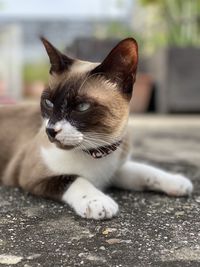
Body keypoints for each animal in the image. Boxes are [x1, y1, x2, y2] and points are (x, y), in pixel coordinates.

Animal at [0, 36, 194, 220]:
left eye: (82, 107)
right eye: (48, 102)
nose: (51, 131)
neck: (96, 152)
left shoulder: (115, 171)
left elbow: (145, 170)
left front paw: (177, 182)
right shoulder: (32, 176)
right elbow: (73, 178)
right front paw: (98, 202)